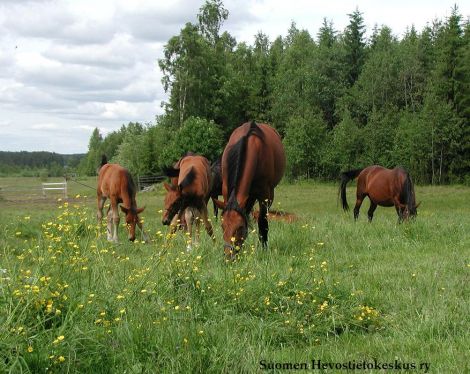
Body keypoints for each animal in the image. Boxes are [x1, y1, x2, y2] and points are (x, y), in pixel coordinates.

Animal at [214, 121, 286, 258]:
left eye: (240, 227)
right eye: (222, 226)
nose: (228, 256)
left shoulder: (265, 195)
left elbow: (262, 223)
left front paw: (264, 249)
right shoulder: (226, 191)